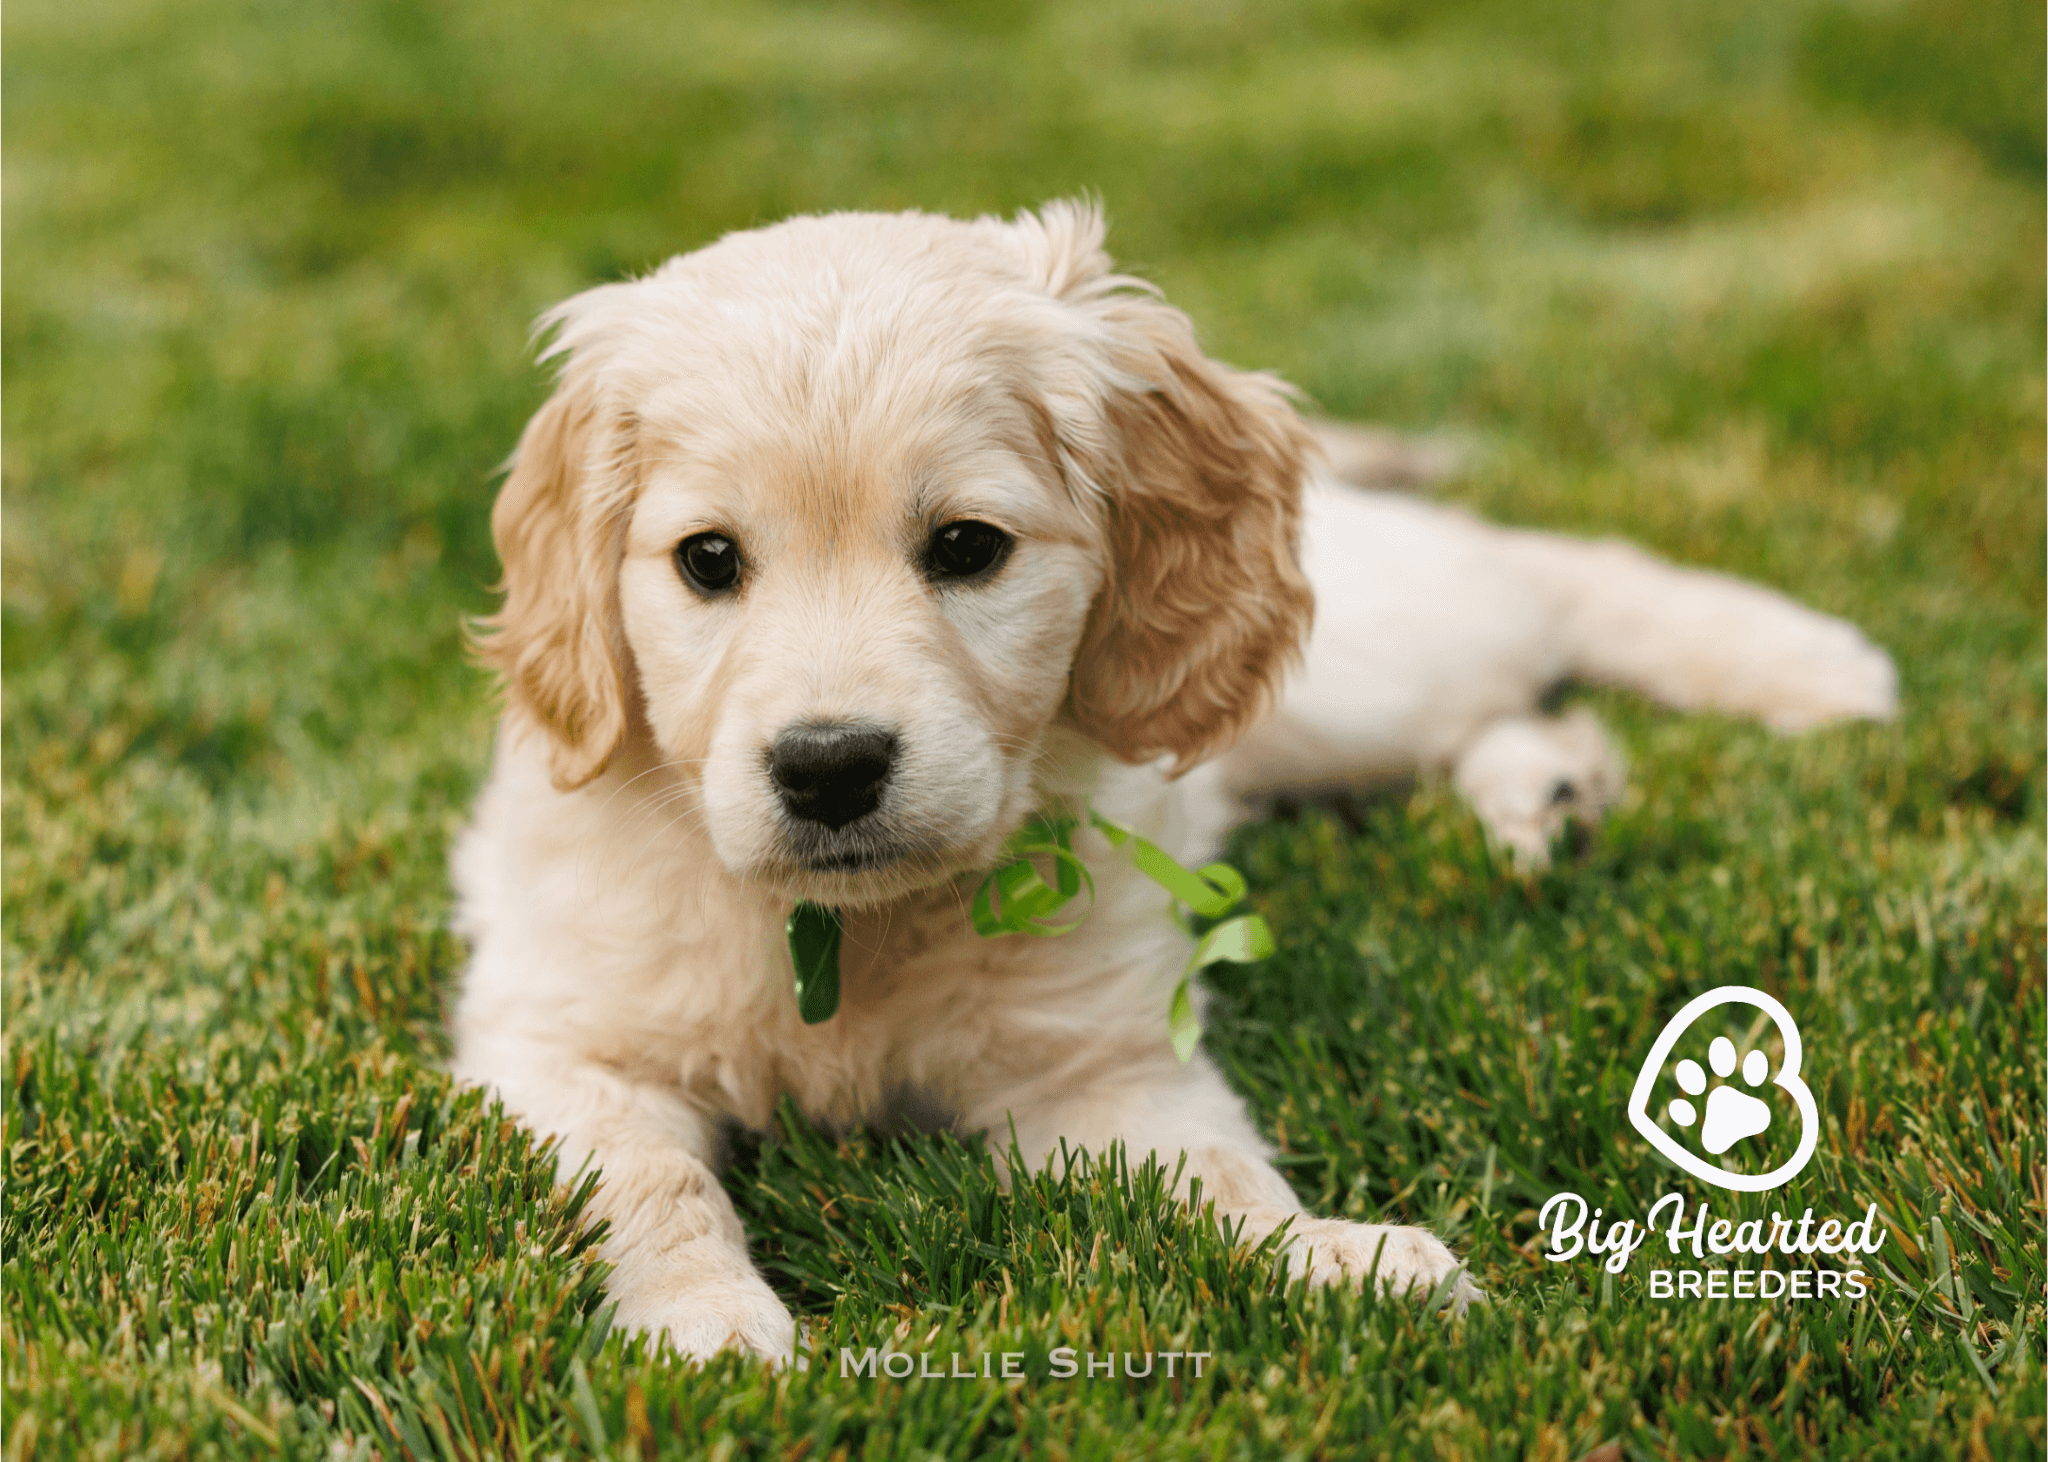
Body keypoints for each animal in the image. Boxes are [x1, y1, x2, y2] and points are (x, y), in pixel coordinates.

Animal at [448, 199, 1884, 1359]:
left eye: (965, 546)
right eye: (707, 560)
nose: (829, 764)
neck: (851, 932)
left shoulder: (1098, 1065)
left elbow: (1213, 1170)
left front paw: (1332, 1256)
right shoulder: (556, 1047)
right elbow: (648, 1183)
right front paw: (702, 1327)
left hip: (1355, 672)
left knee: (1542, 577)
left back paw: (1800, 663)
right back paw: (1552, 797)